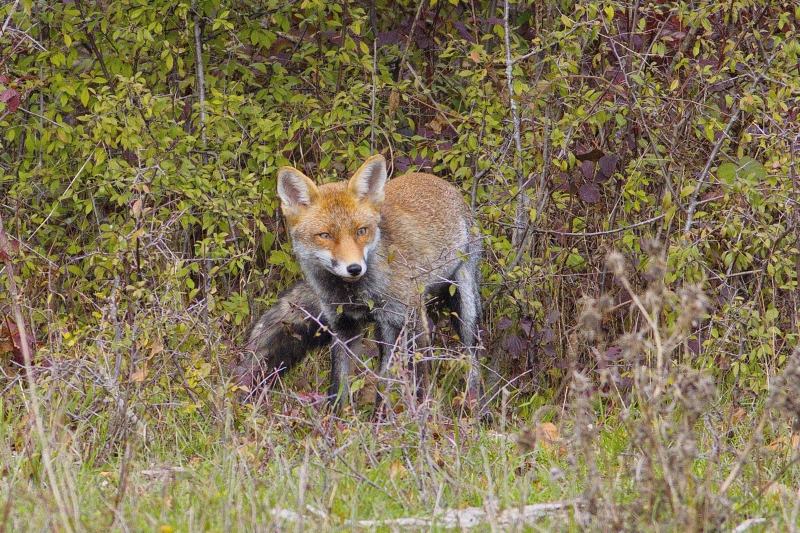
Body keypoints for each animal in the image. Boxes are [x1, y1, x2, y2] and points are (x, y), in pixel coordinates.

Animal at [241, 156, 484, 414]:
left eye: (361, 231)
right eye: (325, 235)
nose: (354, 268)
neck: (356, 294)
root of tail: (439, 181)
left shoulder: (408, 322)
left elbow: (413, 381)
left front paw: (414, 417)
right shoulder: (343, 326)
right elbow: (338, 386)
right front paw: (336, 422)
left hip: (462, 306)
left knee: (471, 358)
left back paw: (477, 410)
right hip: (389, 327)